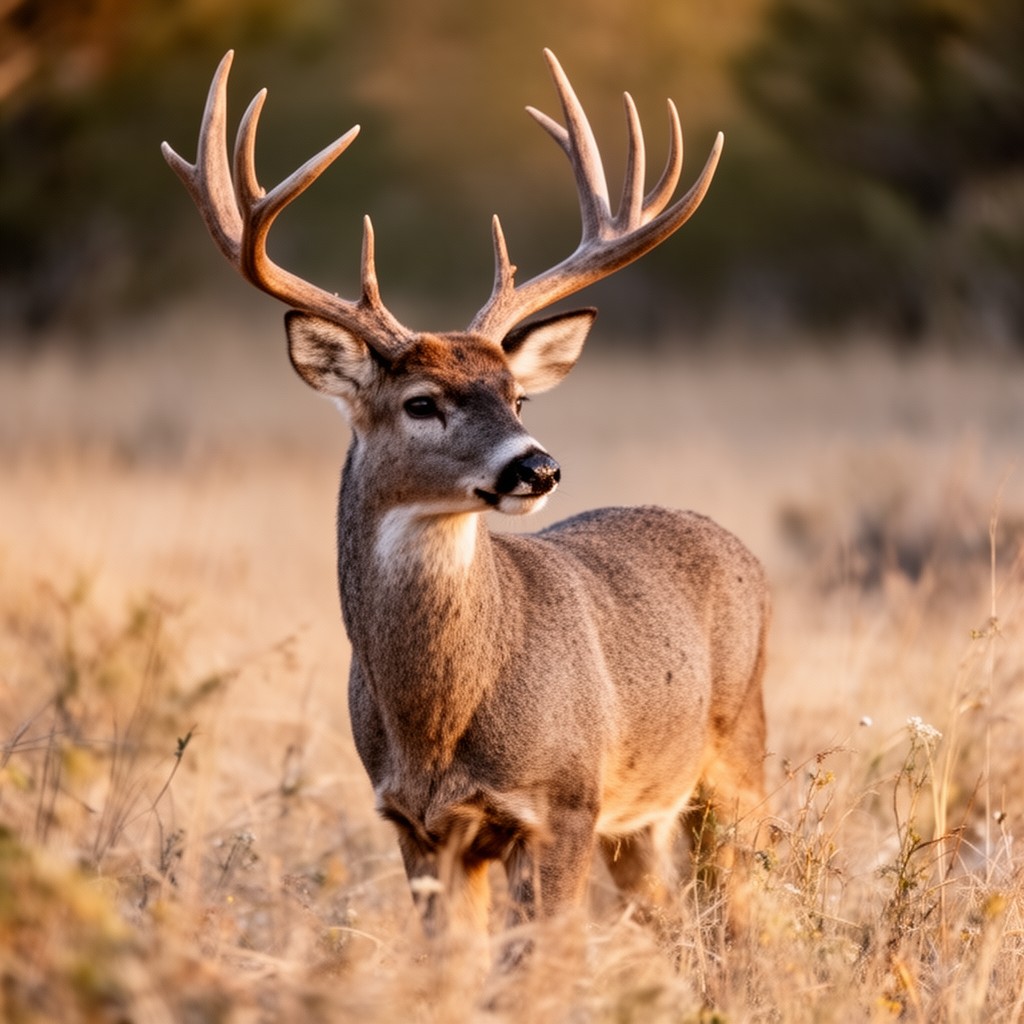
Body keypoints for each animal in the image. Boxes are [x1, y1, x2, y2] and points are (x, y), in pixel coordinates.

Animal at [162, 49, 769, 961]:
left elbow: (535, 967)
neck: (437, 724)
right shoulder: (418, 826)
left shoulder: (561, 804)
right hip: (644, 818)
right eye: (421, 402)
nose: (538, 468)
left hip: (737, 756)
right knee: (675, 921)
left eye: (518, 395)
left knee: (749, 914)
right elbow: (451, 968)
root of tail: (736, 545)